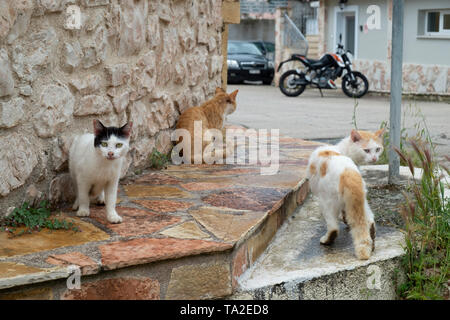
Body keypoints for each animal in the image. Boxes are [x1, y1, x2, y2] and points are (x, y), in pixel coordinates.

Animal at [308, 128, 384, 260]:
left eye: (377, 149)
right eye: (367, 150)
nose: (374, 158)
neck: (343, 149)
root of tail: (348, 172)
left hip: (326, 201)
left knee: (333, 228)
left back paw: (327, 240)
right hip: (362, 200)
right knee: (370, 221)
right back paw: (372, 243)